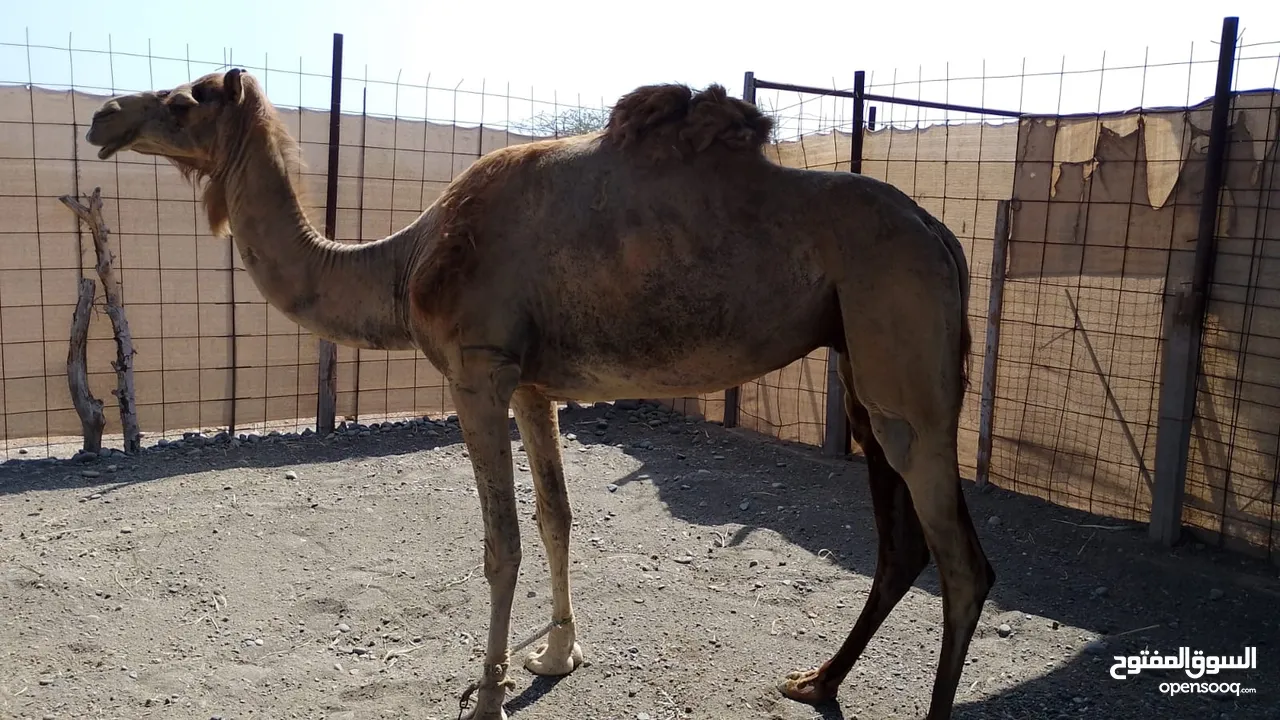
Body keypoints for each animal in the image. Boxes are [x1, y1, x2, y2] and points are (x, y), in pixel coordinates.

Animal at [85, 68, 993, 717]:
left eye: (183, 101)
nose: (103, 117)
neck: (404, 263)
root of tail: (944, 235)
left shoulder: (477, 371)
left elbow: (503, 542)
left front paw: (487, 691)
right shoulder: (534, 382)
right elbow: (557, 518)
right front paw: (556, 654)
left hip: (902, 341)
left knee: (963, 562)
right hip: (862, 363)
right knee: (901, 545)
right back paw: (816, 682)